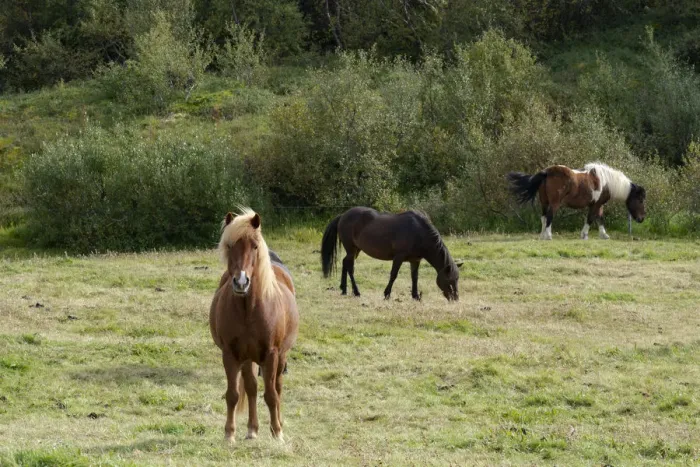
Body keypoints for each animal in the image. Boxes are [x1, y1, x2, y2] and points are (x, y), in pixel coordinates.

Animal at [209, 209, 299, 443]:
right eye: (230, 245)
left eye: (255, 246)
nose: (241, 282)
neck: (248, 310)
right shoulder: (230, 354)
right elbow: (233, 394)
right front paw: (229, 434)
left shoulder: (272, 354)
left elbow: (271, 395)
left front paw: (277, 433)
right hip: (248, 357)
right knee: (251, 388)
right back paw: (252, 429)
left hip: (281, 356)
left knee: (277, 387)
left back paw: (278, 424)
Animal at [321, 207, 461, 301]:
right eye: (450, 280)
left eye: (457, 279)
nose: (455, 298)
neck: (419, 232)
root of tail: (343, 215)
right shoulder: (398, 257)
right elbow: (393, 275)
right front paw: (387, 294)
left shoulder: (415, 260)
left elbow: (414, 277)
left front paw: (415, 296)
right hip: (351, 249)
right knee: (350, 267)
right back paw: (356, 292)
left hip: (355, 250)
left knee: (345, 263)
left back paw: (344, 289)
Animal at [507, 162, 646, 240]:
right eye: (640, 199)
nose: (642, 219)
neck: (606, 181)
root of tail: (547, 172)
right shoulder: (596, 204)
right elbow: (590, 219)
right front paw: (584, 235)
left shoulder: (598, 205)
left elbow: (600, 218)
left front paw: (604, 235)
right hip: (554, 203)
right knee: (550, 216)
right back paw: (548, 236)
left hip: (544, 202)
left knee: (543, 217)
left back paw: (542, 235)